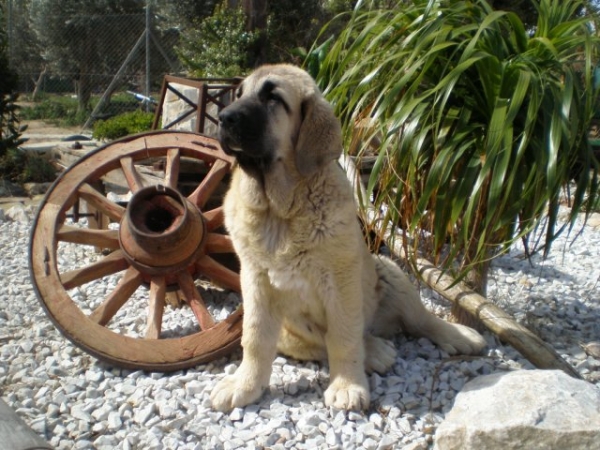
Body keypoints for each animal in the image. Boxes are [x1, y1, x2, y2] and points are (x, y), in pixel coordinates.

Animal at [209, 63, 486, 412]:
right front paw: (245, 385)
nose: (223, 118)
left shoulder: (340, 278)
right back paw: (377, 351)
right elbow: (256, 338)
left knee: (419, 320)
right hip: (292, 329)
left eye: (273, 98)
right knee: (327, 342)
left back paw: (458, 336)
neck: (279, 210)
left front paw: (347, 386)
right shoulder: (256, 281)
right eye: (239, 94)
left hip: (389, 271)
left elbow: (344, 336)